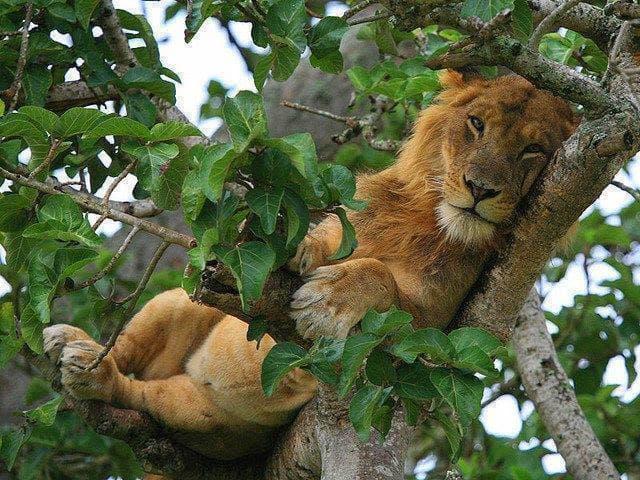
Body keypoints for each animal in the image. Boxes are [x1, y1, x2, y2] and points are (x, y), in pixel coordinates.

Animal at [42, 71, 576, 470]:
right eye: (476, 124)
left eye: (533, 150)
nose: (481, 189)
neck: (428, 216)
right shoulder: (350, 223)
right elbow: (321, 240)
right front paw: (289, 246)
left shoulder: (442, 325)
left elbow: (384, 283)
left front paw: (330, 299)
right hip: (175, 301)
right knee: (129, 345)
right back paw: (73, 345)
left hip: (203, 414)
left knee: (138, 394)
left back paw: (94, 375)